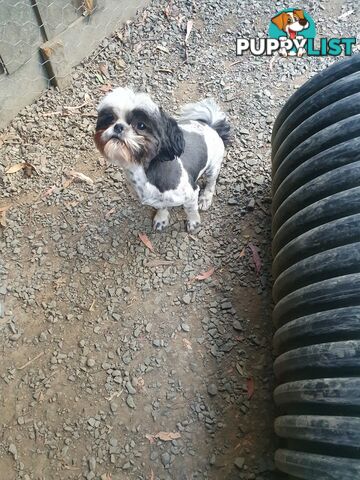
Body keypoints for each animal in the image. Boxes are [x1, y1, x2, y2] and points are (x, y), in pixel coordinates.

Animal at [95, 89, 231, 233]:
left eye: (141, 125)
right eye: (110, 119)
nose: (118, 126)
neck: (140, 171)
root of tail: (210, 126)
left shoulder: (191, 193)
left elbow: (191, 210)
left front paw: (193, 222)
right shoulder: (158, 200)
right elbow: (162, 206)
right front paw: (162, 218)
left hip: (213, 167)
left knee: (211, 182)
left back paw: (205, 198)